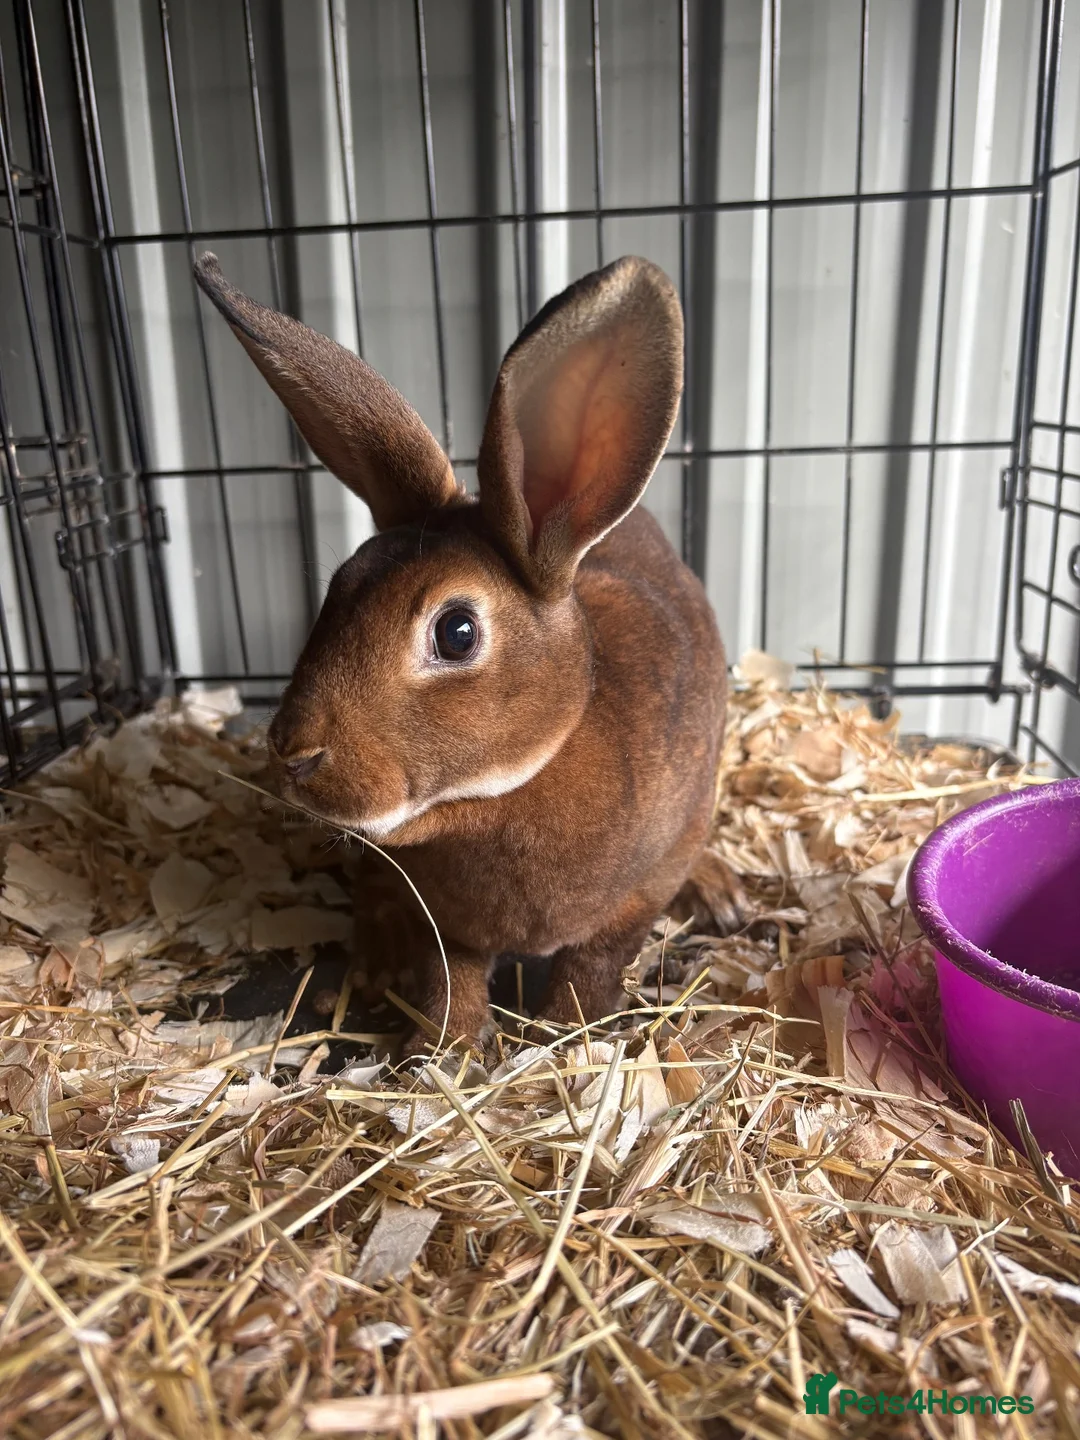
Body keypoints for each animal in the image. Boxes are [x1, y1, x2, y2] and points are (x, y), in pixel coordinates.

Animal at [194, 250, 732, 1056]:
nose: (293, 753)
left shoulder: (643, 889)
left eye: (456, 632)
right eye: (338, 586)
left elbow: (593, 965)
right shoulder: (440, 919)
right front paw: (441, 1054)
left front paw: (568, 1040)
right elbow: (451, 976)